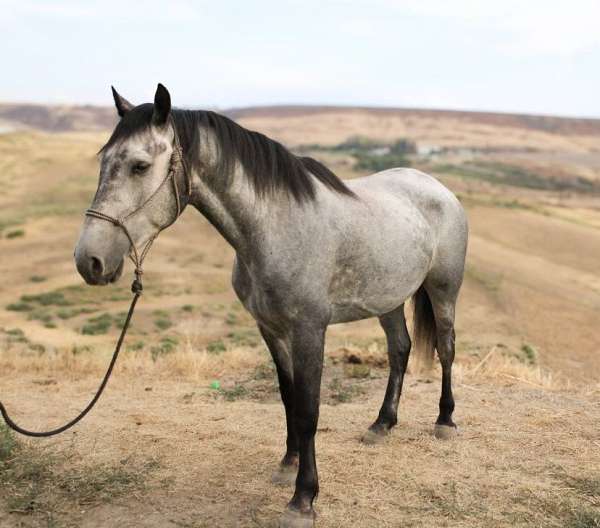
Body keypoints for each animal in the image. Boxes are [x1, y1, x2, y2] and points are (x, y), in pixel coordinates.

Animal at [74, 84, 468, 524]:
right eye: (104, 162)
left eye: (140, 166)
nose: (89, 261)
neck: (274, 227)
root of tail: (436, 187)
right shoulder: (270, 329)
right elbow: (288, 397)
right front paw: (288, 464)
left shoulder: (309, 331)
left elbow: (309, 409)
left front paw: (303, 498)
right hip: (389, 299)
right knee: (400, 350)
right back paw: (382, 424)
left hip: (444, 291)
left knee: (446, 350)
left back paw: (445, 420)